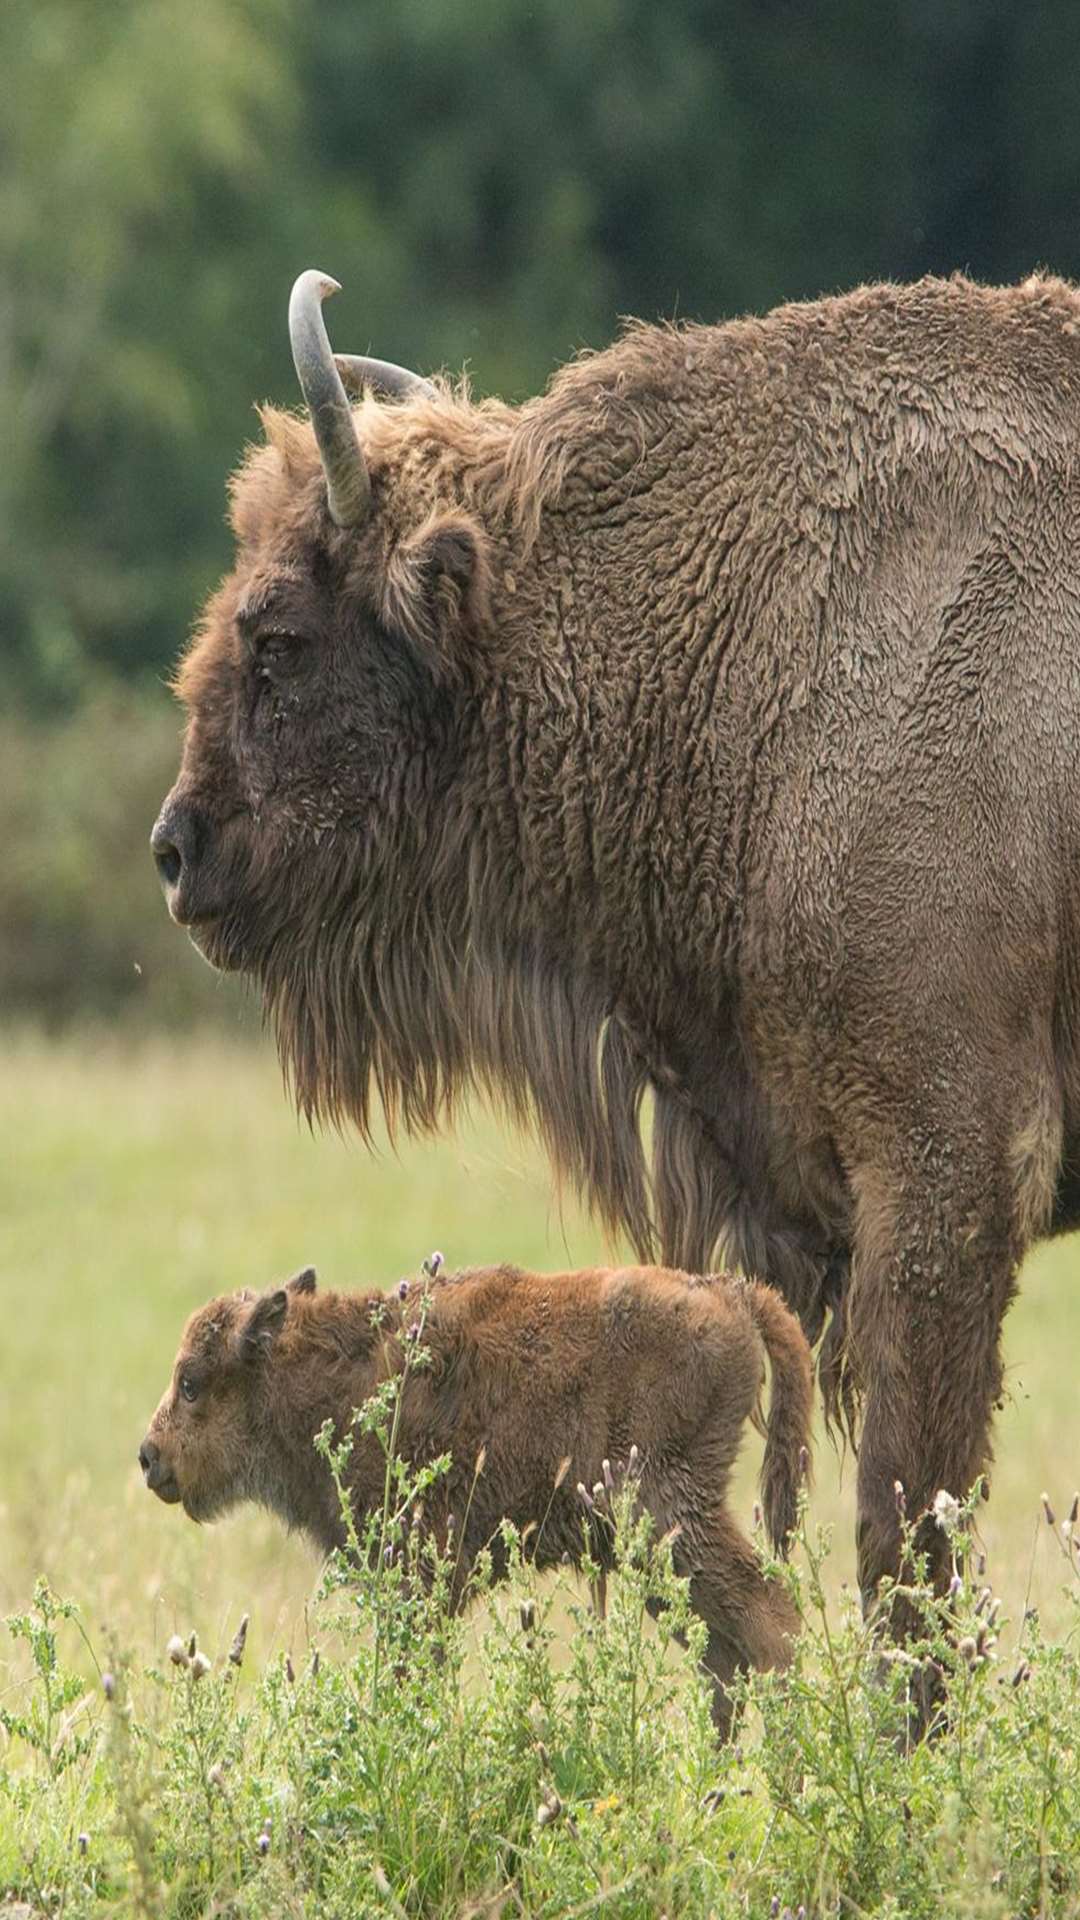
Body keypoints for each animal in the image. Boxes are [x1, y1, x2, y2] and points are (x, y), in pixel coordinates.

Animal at [141, 1267, 807, 1735]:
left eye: (192, 1382)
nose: (149, 1457)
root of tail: (732, 1293)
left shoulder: (420, 1575)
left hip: (667, 1518)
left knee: (767, 1623)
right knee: (724, 1654)